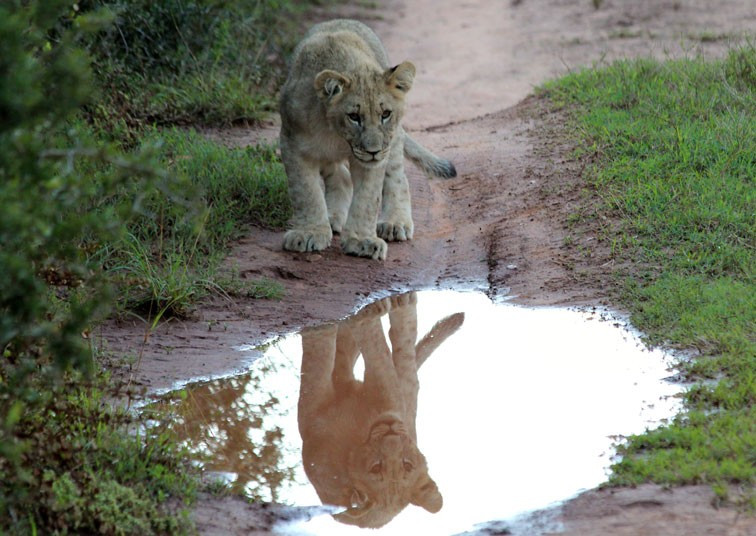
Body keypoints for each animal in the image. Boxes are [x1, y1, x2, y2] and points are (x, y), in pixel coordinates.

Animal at [279, 19, 457, 260]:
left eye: (385, 114)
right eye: (354, 116)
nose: (373, 151)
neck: (334, 133)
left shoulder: (372, 161)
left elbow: (367, 199)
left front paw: (360, 241)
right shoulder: (292, 143)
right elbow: (306, 193)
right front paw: (309, 233)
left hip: (393, 142)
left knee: (398, 178)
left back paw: (395, 222)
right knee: (341, 178)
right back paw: (333, 218)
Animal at [297, 293, 464, 528]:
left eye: (406, 465)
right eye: (376, 467)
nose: (391, 432)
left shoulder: (316, 407)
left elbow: (371, 353)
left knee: (401, 356)